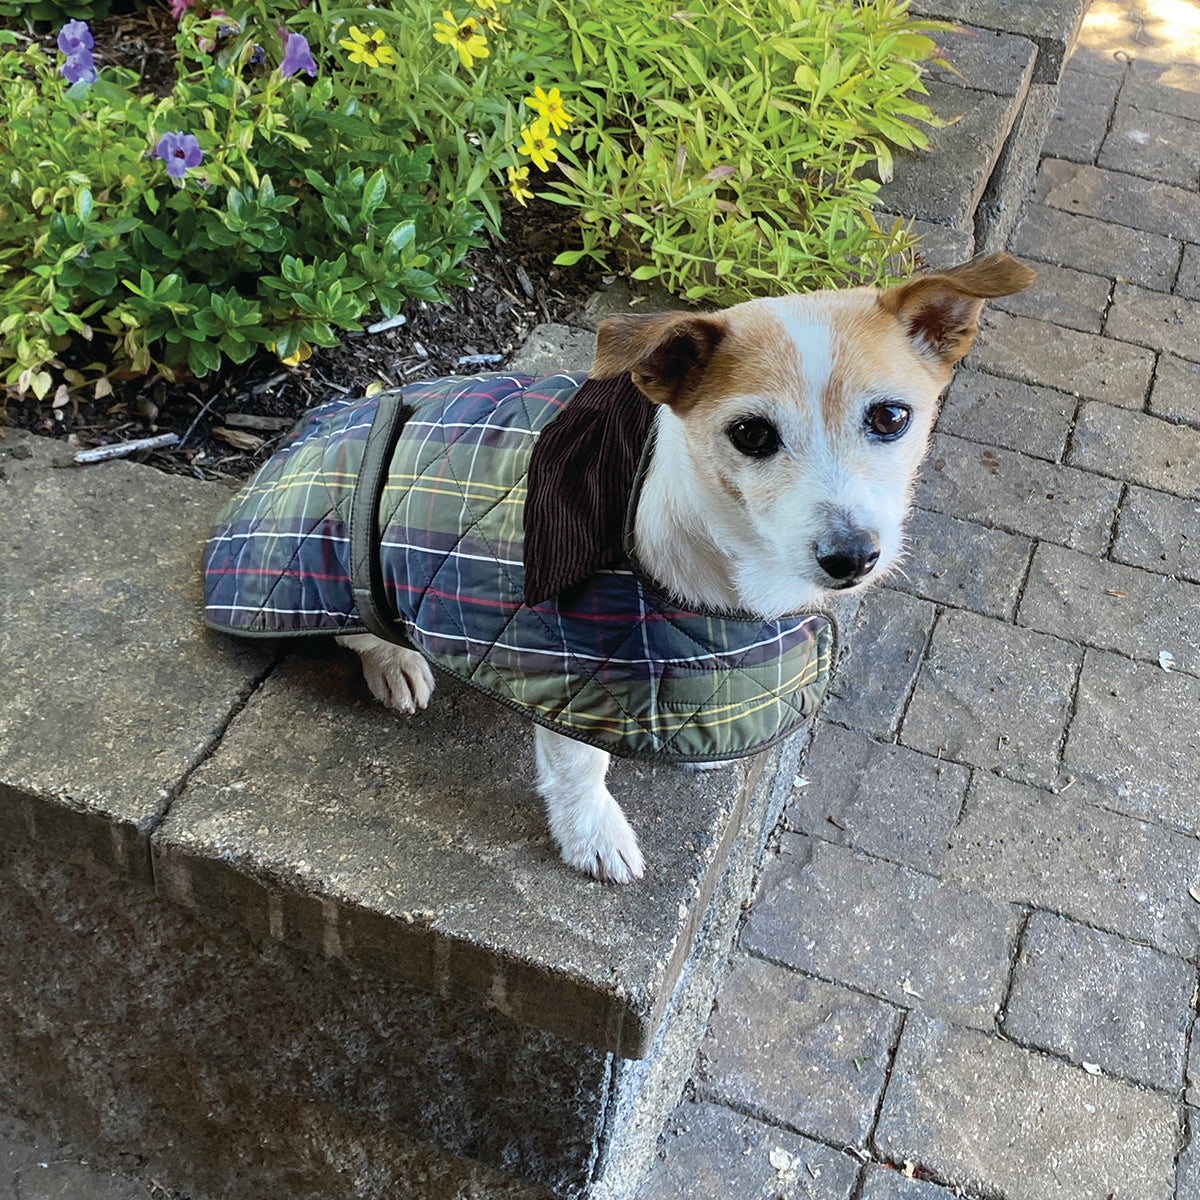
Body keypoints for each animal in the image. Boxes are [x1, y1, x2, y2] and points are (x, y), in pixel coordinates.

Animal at [333, 253, 1036, 888]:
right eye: (751, 433)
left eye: (891, 417)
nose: (851, 556)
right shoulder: (570, 665)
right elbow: (579, 765)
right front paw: (593, 835)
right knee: (357, 628)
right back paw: (396, 662)